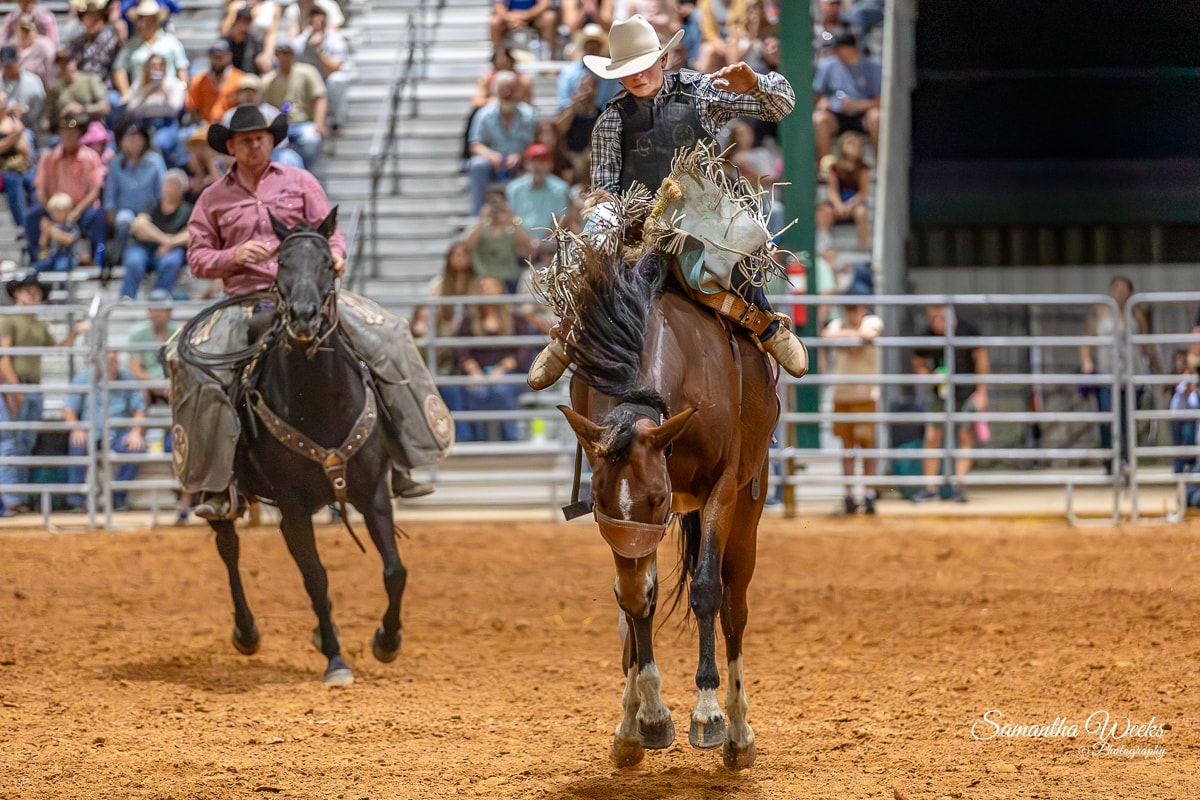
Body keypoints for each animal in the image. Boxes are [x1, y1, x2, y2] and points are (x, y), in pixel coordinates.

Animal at [182, 210, 406, 686]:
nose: (303, 316)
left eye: (325, 263)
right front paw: (337, 661)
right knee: (229, 551)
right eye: (281, 262)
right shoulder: (293, 504)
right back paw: (247, 632)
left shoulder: (374, 493)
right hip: (226, 497)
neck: (319, 399)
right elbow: (316, 579)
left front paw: (387, 640)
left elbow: (395, 571)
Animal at [557, 246, 779, 770]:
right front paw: (648, 717)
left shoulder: (721, 489)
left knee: (734, 605)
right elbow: (637, 599)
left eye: (657, 497)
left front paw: (708, 712)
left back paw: (739, 734)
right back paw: (631, 723)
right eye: (597, 500)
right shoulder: (632, 530)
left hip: (749, 504)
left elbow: (706, 591)